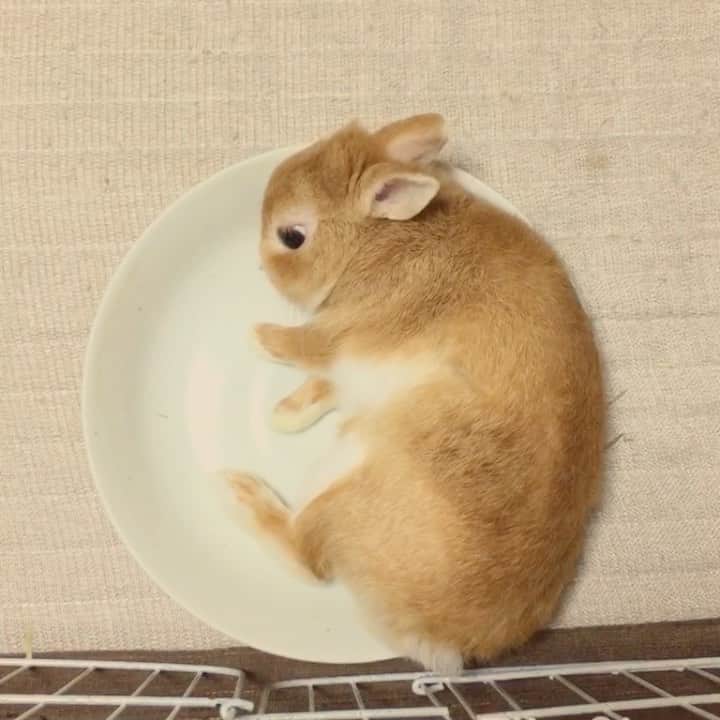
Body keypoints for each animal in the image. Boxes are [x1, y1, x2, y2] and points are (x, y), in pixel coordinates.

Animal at [227, 114, 605, 673]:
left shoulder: (340, 335)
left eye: (291, 236)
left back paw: (238, 489)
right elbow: (326, 386)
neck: (375, 241)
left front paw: (258, 337)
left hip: (350, 472)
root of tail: (442, 632)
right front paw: (285, 414)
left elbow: (303, 347)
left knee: (306, 555)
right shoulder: (357, 363)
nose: (260, 267)